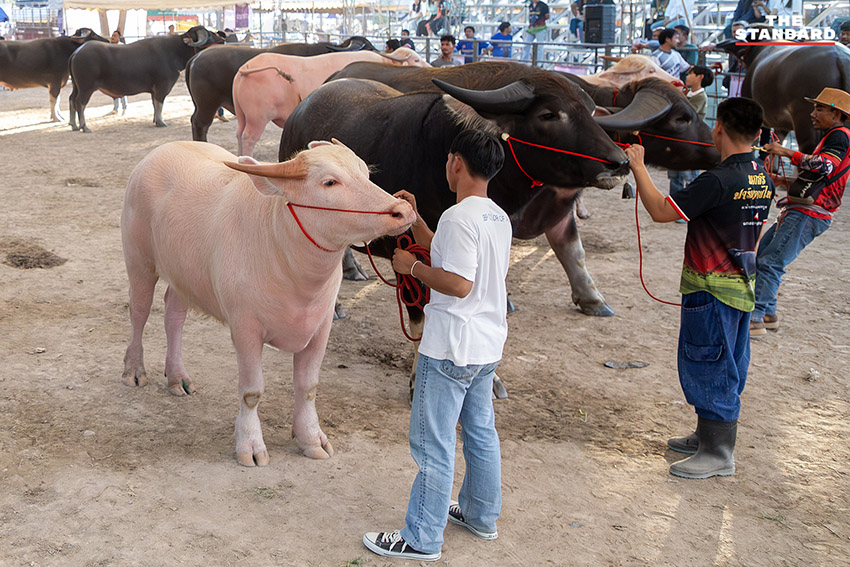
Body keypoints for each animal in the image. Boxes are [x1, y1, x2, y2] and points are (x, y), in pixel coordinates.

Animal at [68, 27, 222, 134]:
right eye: (209, 34)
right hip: (86, 87)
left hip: (76, 86)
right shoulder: (162, 87)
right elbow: (159, 104)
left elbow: (155, 104)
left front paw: (155, 120)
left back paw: (74, 125)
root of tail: (77, 52)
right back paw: (84, 126)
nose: (222, 40)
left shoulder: (154, 90)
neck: (174, 51)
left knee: (71, 99)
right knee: (80, 102)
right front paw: (161, 122)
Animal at [121, 139, 416, 466]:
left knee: (174, 313)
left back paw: (177, 378)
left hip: (183, 274)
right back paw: (134, 370)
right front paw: (249, 444)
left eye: (365, 172)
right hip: (139, 261)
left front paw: (311, 438)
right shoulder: (245, 329)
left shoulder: (321, 327)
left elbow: (308, 387)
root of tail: (159, 152)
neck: (289, 262)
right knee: (139, 311)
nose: (403, 210)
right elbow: (252, 392)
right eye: (329, 182)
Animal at [232, 46, 430, 156]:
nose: (431, 65)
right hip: (257, 118)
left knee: (239, 134)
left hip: (242, 115)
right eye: (416, 59)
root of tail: (246, 67)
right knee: (248, 138)